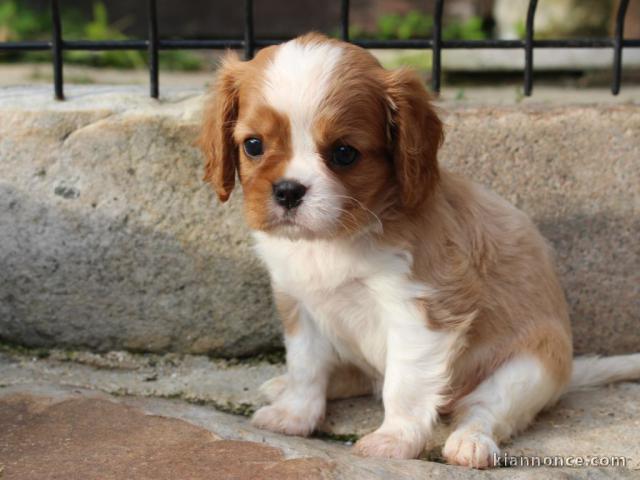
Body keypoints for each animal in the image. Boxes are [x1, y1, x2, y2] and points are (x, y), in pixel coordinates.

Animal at [200, 34, 640, 468]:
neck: (335, 239)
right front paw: (294, 415)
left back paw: (470, 443)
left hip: (527, 369)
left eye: (344, 153)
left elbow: (404, 385)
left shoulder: (421, 312)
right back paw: (285, 385)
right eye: (253, 146)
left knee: (483, 409)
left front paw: (394, 439)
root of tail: (566, 375)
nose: (288, 191)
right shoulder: (299, 303)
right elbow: (306, 366)